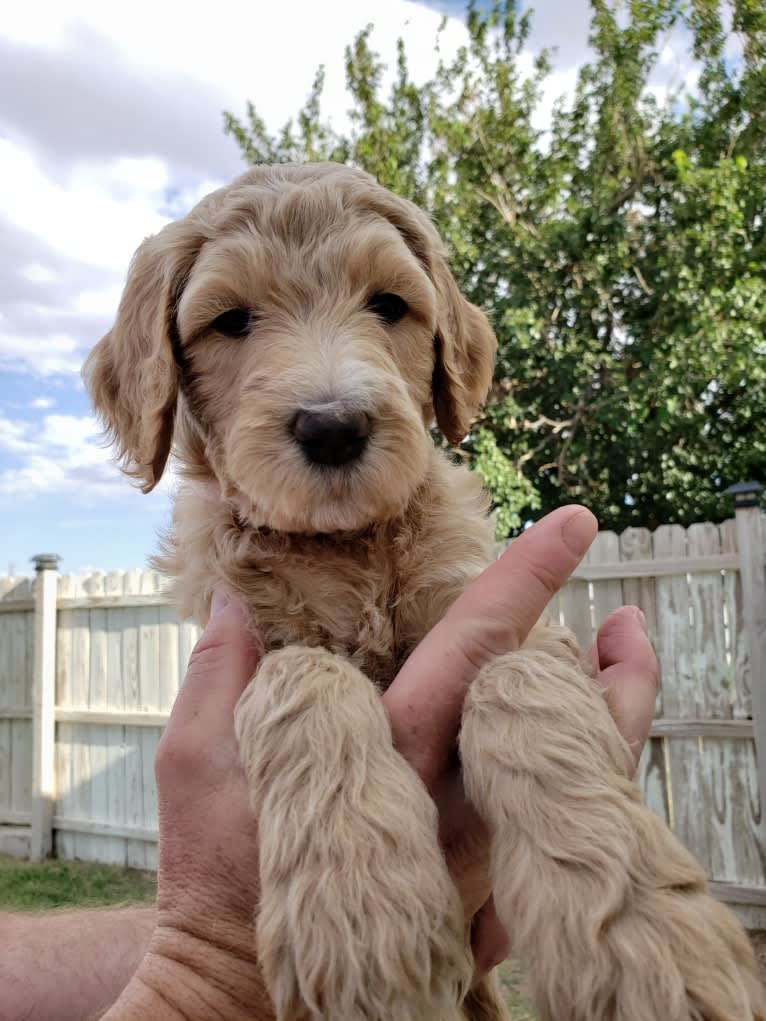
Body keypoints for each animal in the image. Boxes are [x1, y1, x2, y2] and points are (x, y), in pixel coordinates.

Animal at [85, 163, 766, 1021]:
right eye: (230, 320)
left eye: (388, 305)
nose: (334, 427)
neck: (347, 544)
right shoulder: (242, 635)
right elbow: (306, 677)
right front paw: (361, 914)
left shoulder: (499, 611)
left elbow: (519, 679)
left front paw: (646, 936)